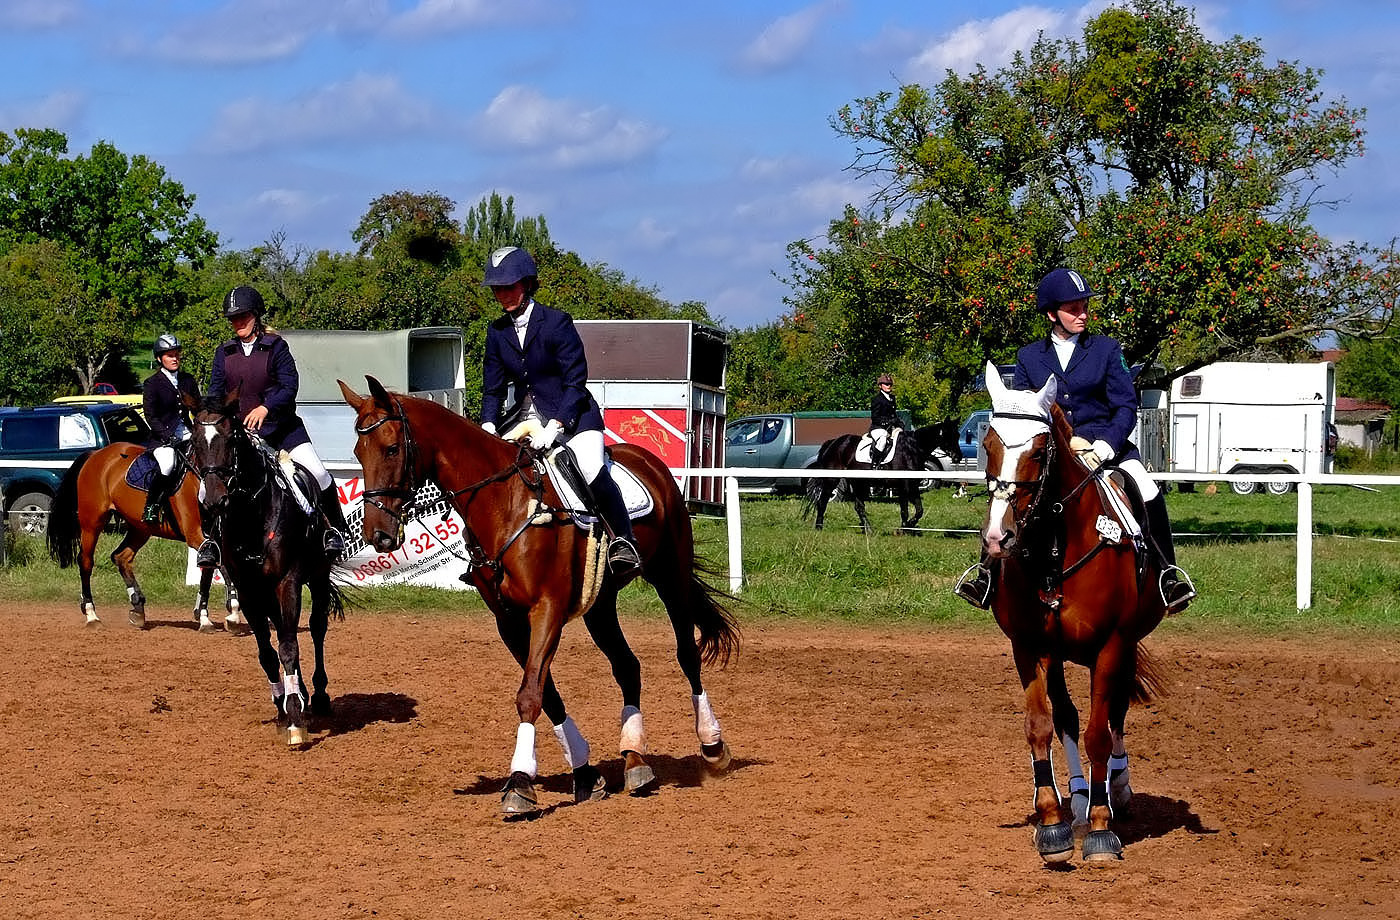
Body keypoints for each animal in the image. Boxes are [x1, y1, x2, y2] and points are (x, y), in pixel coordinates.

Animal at [45, 442, 243, 632]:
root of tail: (96, 454)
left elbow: (215, 567)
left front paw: (224, 612)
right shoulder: (194, 533)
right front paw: (215, 615)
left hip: (140, 528)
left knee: (121, 557)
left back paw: (138, 607)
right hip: (92, 523)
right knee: (86, 562)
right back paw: (91, 615)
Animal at [189, 389, 344, 744]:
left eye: (231, 438)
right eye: (194, 441)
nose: (214, 500)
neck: (250, 515)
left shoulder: (288, 582)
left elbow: (288, 646)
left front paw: (295, 719)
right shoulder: (248, 590)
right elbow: (267, 652)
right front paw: (283, 706)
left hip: (316, 577)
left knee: (315, 629)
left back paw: (318, 695)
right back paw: (299, 693)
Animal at [341, 372, 744, 817]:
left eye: (392, 448)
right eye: (358, 452)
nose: (378, 536)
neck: (505, 503)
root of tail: (651, 462)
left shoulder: (545, 609)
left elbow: (531, 693)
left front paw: (520, 782)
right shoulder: (509, 620)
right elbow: (545, 692)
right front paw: (585, 774)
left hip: (670, 578)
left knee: (687, 655)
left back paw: (712, 746)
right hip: (600, 606)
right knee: (627, 666)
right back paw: (635, 760)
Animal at [806, 417, 957, 532]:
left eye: (957, 435)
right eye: (949, 435)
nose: (958, 457)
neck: (911, 449)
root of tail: (833, 442)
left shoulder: (909, 486)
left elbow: (913, 510)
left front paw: (905, 528)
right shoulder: (907, 486)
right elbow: (911, 510)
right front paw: (907, 526)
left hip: (858, 482)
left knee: (859, 507)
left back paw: (868, 529)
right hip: (832, 479)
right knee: (822, 501)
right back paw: (819, 527)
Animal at [974, 361, 1170, 862]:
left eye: (1039, 451)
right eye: (988, 445)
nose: (998, 539)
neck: (1055, 548)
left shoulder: (1112, 645)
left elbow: (1100, 731)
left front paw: (1101, 829)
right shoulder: (1030, 646)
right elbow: (1041, 725)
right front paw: (1052, 822)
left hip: (1124, 646)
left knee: (1115, 713)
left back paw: (1114, 791)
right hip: (1060, 654)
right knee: (1067, 717)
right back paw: (1079, 797)